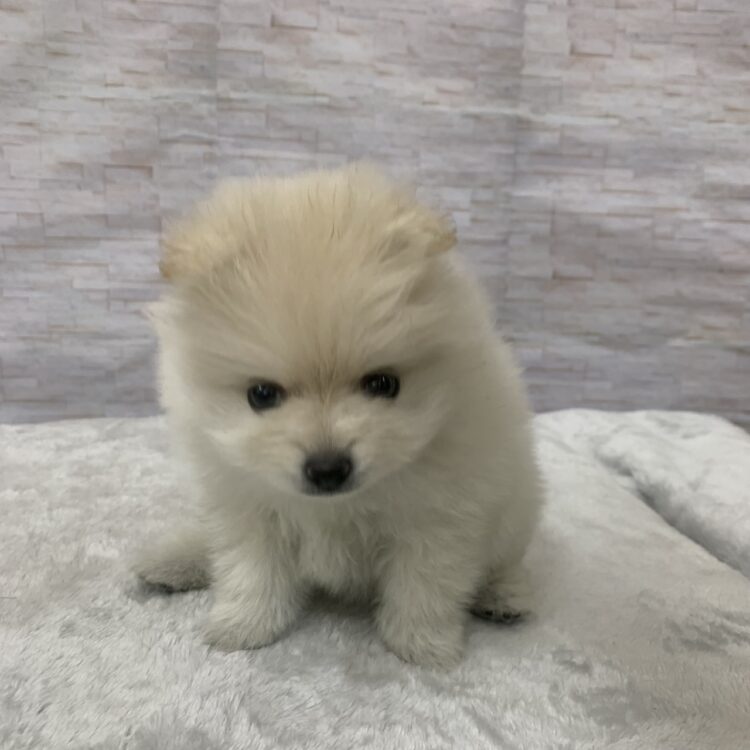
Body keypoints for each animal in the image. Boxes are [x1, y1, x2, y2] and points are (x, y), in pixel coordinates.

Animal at [135, 163, 543, 668]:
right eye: (261, 395)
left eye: (384, 384)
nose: (328, 468)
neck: (333, 507)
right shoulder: (245, 503)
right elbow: (251, 570)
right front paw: (244, 626)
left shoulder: (441, 515)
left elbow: (425, 583)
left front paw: (422, 644)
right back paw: (172, 561)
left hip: (517, 510)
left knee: (506, 562)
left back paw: (503, 597)